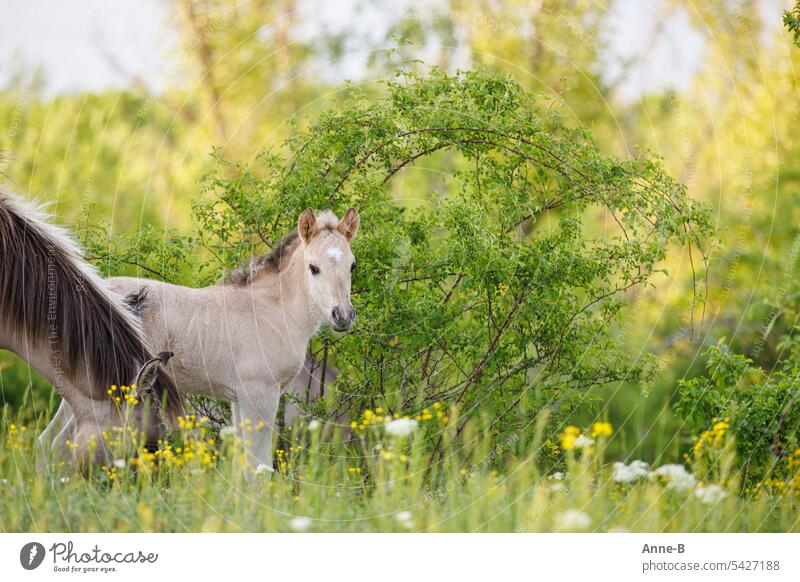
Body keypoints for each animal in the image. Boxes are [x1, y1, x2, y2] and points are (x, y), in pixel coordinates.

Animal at [109, 208, 360, 472]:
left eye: (352, 265)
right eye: (313, 267)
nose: (343, 316)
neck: (272, 311)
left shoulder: (239, 398)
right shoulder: (259, 394)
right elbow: (258, 467)